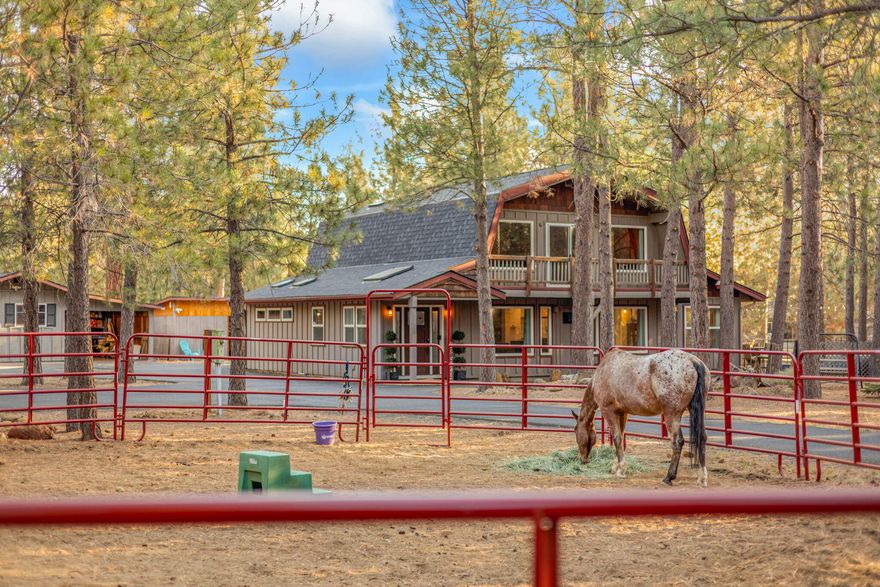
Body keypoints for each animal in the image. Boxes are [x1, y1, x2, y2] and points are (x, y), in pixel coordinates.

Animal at [573, 349, 709, 486]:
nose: (582, 460)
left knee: (677, 442)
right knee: (702, 438)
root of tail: (693, 361)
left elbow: (616, 438)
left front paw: (620, 469)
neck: (603, 372)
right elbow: (621, 437)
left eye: (575, 430)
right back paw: (702, 478)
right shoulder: (622, 413)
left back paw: (669, 477)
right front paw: (616, 467)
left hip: (671, 414)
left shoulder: (609, 411)